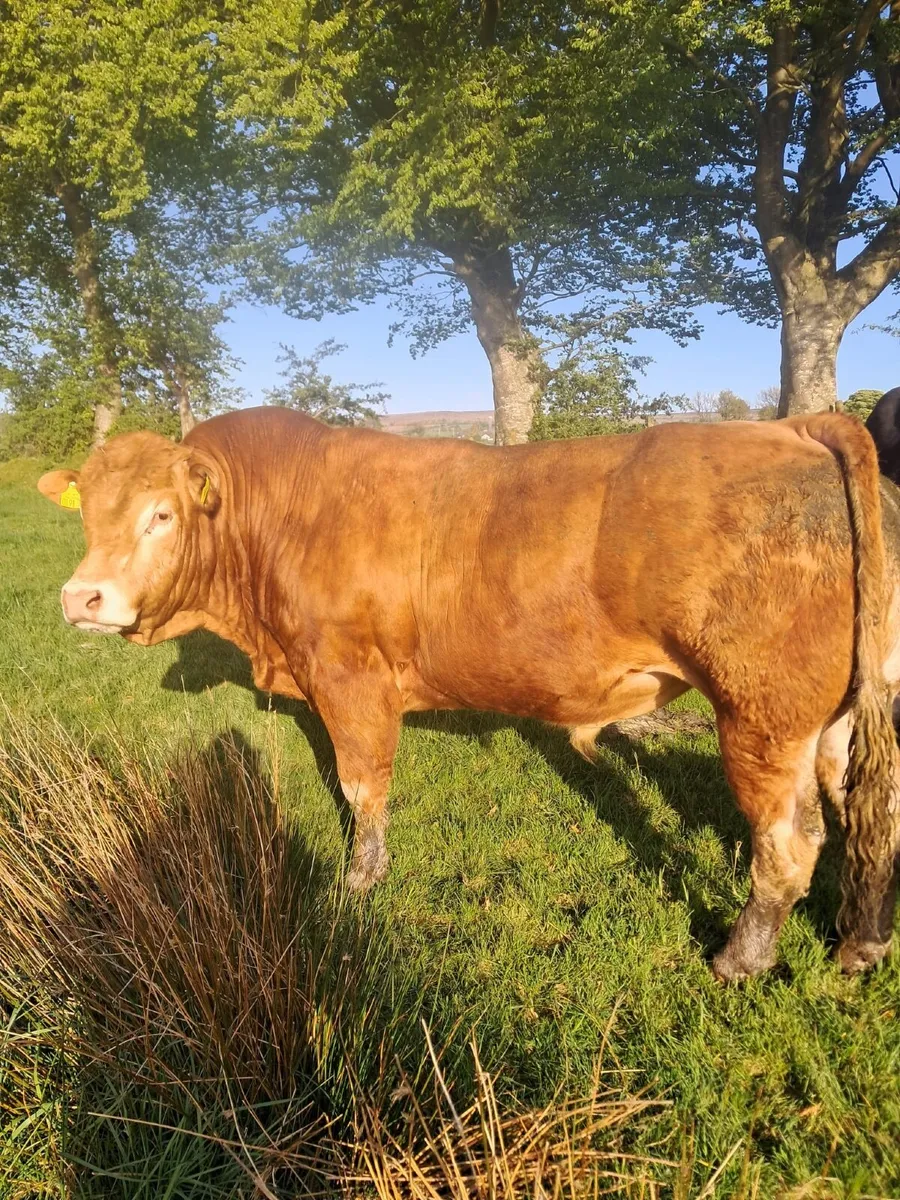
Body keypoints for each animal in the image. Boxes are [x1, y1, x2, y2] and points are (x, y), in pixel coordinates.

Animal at [37, 407, 900, 982]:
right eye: (90, 517)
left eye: (161, 514)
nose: (81, 598)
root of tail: (798, 425)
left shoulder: (347, 678)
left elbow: (361, 785)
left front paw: (360, 879)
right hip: (841, 717)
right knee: (872, 815)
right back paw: (861, 942)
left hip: (762, 716)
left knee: (790, 844)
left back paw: (740, 959)